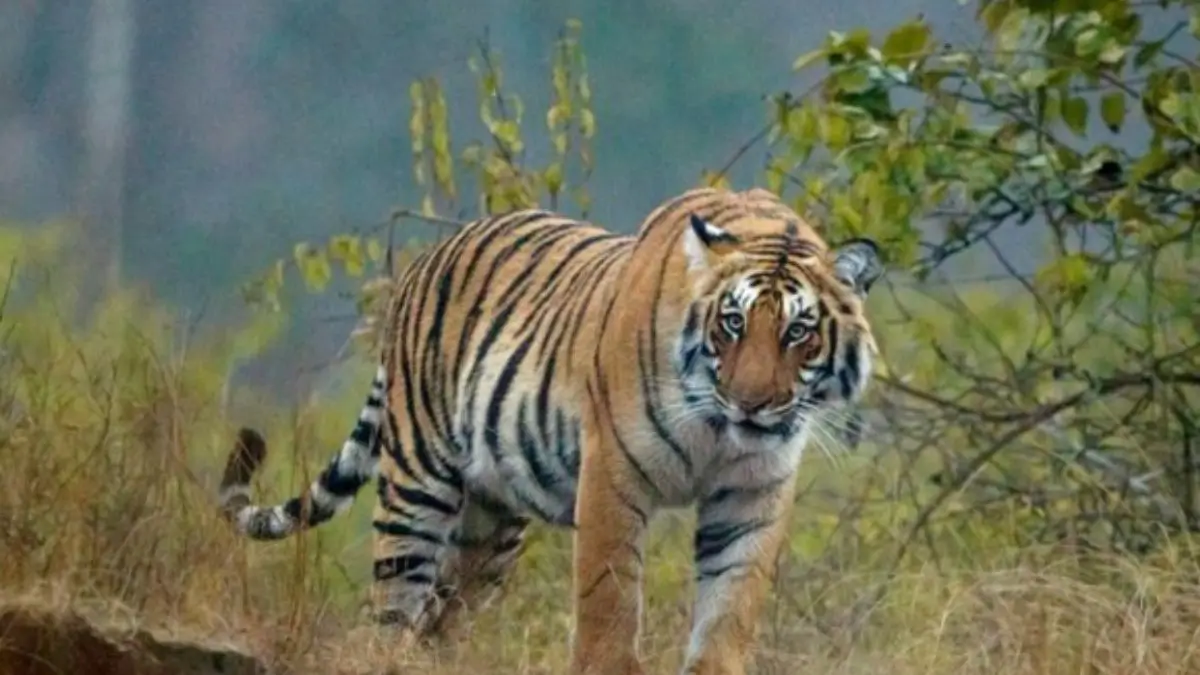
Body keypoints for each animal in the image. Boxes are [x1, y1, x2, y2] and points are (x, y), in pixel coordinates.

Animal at [217, 186, 883, 675]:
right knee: (392, 608)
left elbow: (729, 609)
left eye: (798, 332)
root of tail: (427, 258)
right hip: (417, 482)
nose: (751, 404)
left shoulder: (750, 496)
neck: (718, 434)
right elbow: (609, 600)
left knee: (439, 618)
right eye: (733, 323)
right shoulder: (614, 472)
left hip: (489, 528)